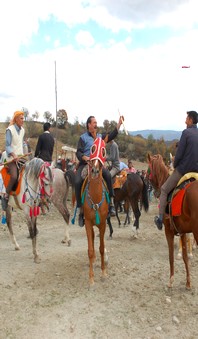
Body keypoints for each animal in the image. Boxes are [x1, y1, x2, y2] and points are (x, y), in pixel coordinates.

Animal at [148, 154, 198, 290]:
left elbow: (171, 256)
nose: (156, 192)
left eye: (148, 171)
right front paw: (188, 283)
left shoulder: (168, 231)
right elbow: (185, 257)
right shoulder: (183, 232)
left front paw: (171, 281)